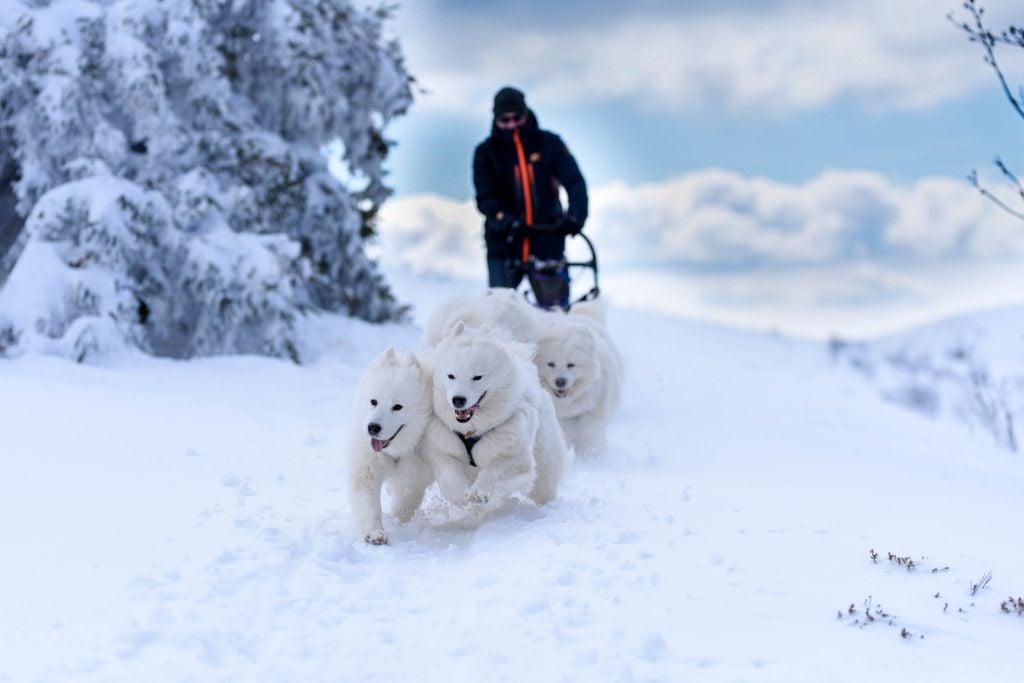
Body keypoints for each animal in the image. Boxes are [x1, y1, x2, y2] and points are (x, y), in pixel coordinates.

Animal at [346, 348, 434, 544]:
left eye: (397, 407)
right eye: (373, 401)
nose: (373, 428)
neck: (394, 451)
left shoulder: (413, 476)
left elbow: (404, 504)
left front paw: (398, 525)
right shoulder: (367, 466)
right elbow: (368, 502)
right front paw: (374, 533)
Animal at [421, 321, 569, 507]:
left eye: (477, 377)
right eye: (451, 376)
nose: (458, 400)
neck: (471, 431)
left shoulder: (515, 454)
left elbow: (494, 470)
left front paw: (478, 493)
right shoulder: (442, 448)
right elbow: (451, 474)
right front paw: (461, 495)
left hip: (544, 465)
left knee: (545, 486)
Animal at [536, 301, 622, 456]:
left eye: (571, 365)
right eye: (551, 364)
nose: (560, 381)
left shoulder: (591, 413)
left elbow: (589, 437)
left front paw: (590, 457)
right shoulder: (561, 420)